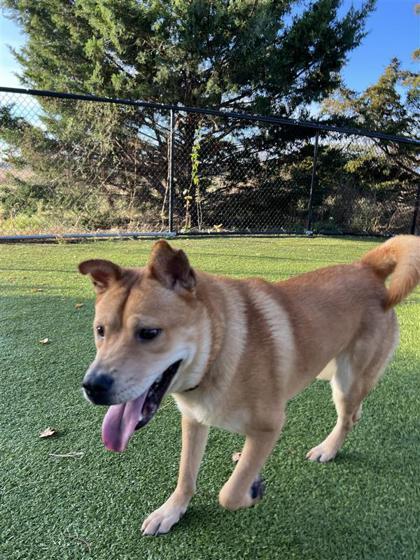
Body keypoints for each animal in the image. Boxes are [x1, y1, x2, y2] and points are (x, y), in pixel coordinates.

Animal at [79, 234, 420, 536]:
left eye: (149, 333)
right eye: (100, 330)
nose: (92, 386)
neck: (219, 351)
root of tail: (366, 268)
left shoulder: (269, 425)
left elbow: (229, 494)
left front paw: (251, 490)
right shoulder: (193, 420)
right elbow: (186, 474)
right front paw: (171, 510)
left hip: (347, 380)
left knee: (347, 418)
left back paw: (328, 448)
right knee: (354, 413)